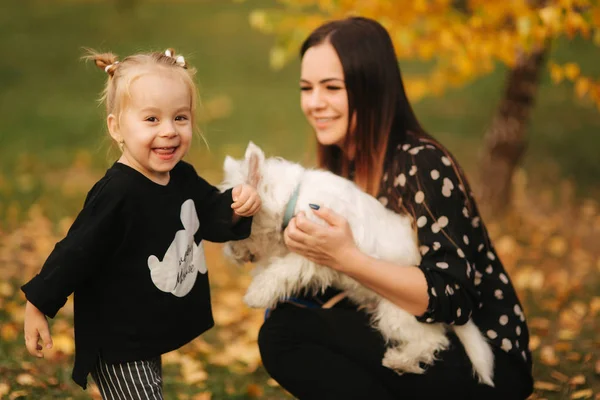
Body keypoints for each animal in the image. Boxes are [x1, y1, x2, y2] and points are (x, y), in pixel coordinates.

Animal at [223, 142, 494, 386]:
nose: (229, 253)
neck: (294, 198)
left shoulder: (314, 252)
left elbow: (281, 270)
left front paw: (256, 294)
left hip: (397, 313)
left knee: (433, 340)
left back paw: (398, 360)